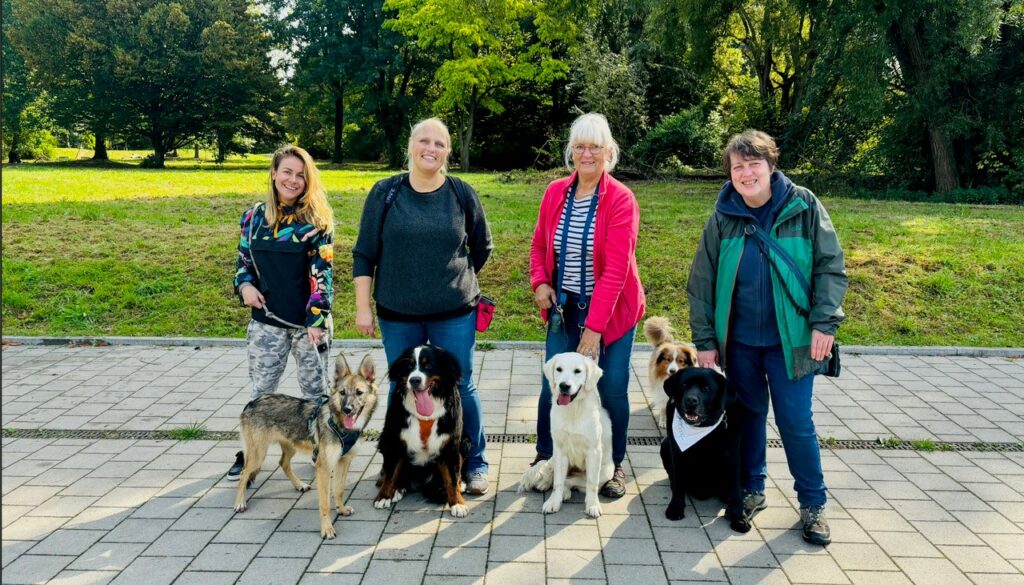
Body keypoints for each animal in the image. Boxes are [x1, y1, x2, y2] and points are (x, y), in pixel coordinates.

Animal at [234, 352, 380, 540]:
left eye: (359, 392)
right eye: (342, 393)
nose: (347, 409)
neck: (340, 426)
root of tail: (251, 403)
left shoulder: (343, 461)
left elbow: (339, 490)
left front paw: (341, 509)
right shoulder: (324, 468)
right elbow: (325, 502)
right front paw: (327, 529)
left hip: (290, 446)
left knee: (283, 463)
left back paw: (299, 485)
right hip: (258, 454)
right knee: (244, 473)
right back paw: (240, 502)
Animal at [659, 368, 749, 532]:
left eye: (706, 388)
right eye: (685, 385)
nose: (690, 400)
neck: (703, 429)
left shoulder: (733, 458)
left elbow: (735, 491)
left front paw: (739, 518)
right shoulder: (678, 454)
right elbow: (679, 484)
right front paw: (675, 507)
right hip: (665, 444)